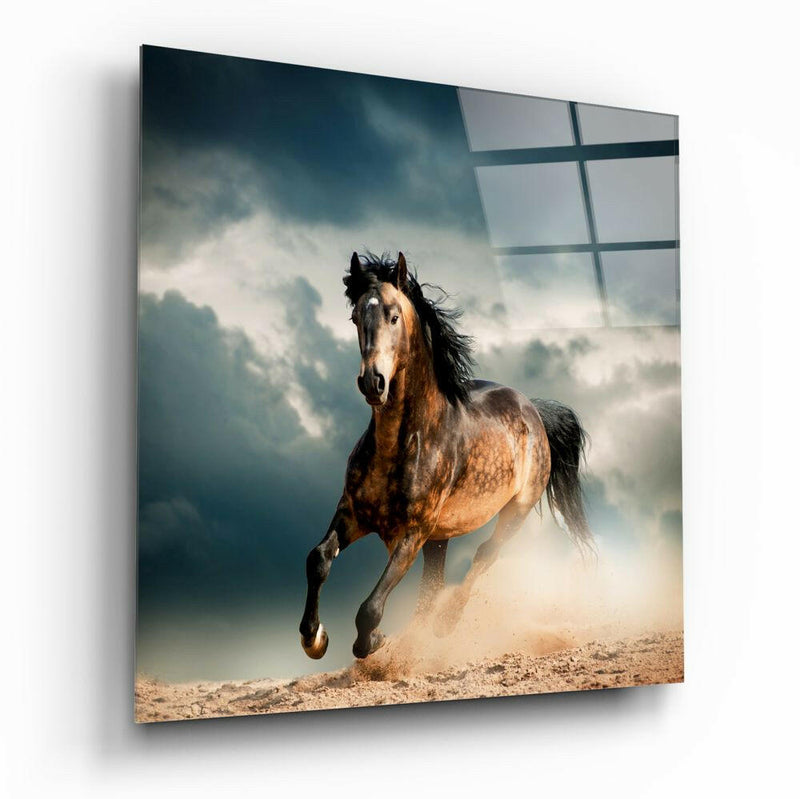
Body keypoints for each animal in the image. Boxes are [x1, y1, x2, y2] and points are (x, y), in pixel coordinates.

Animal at [299, 252, 594, 660]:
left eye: (393, 316)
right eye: (356, 317)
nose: (372, 382)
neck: (402, 444)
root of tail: (533, 410)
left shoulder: (412, 532)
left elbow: (370, 607)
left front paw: (373, 641)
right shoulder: (353, 514)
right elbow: (318, 559)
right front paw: (314, 637)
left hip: (514, 513)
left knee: (484, 556)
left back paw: (446, 622)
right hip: (440, 538)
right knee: (434, 585)